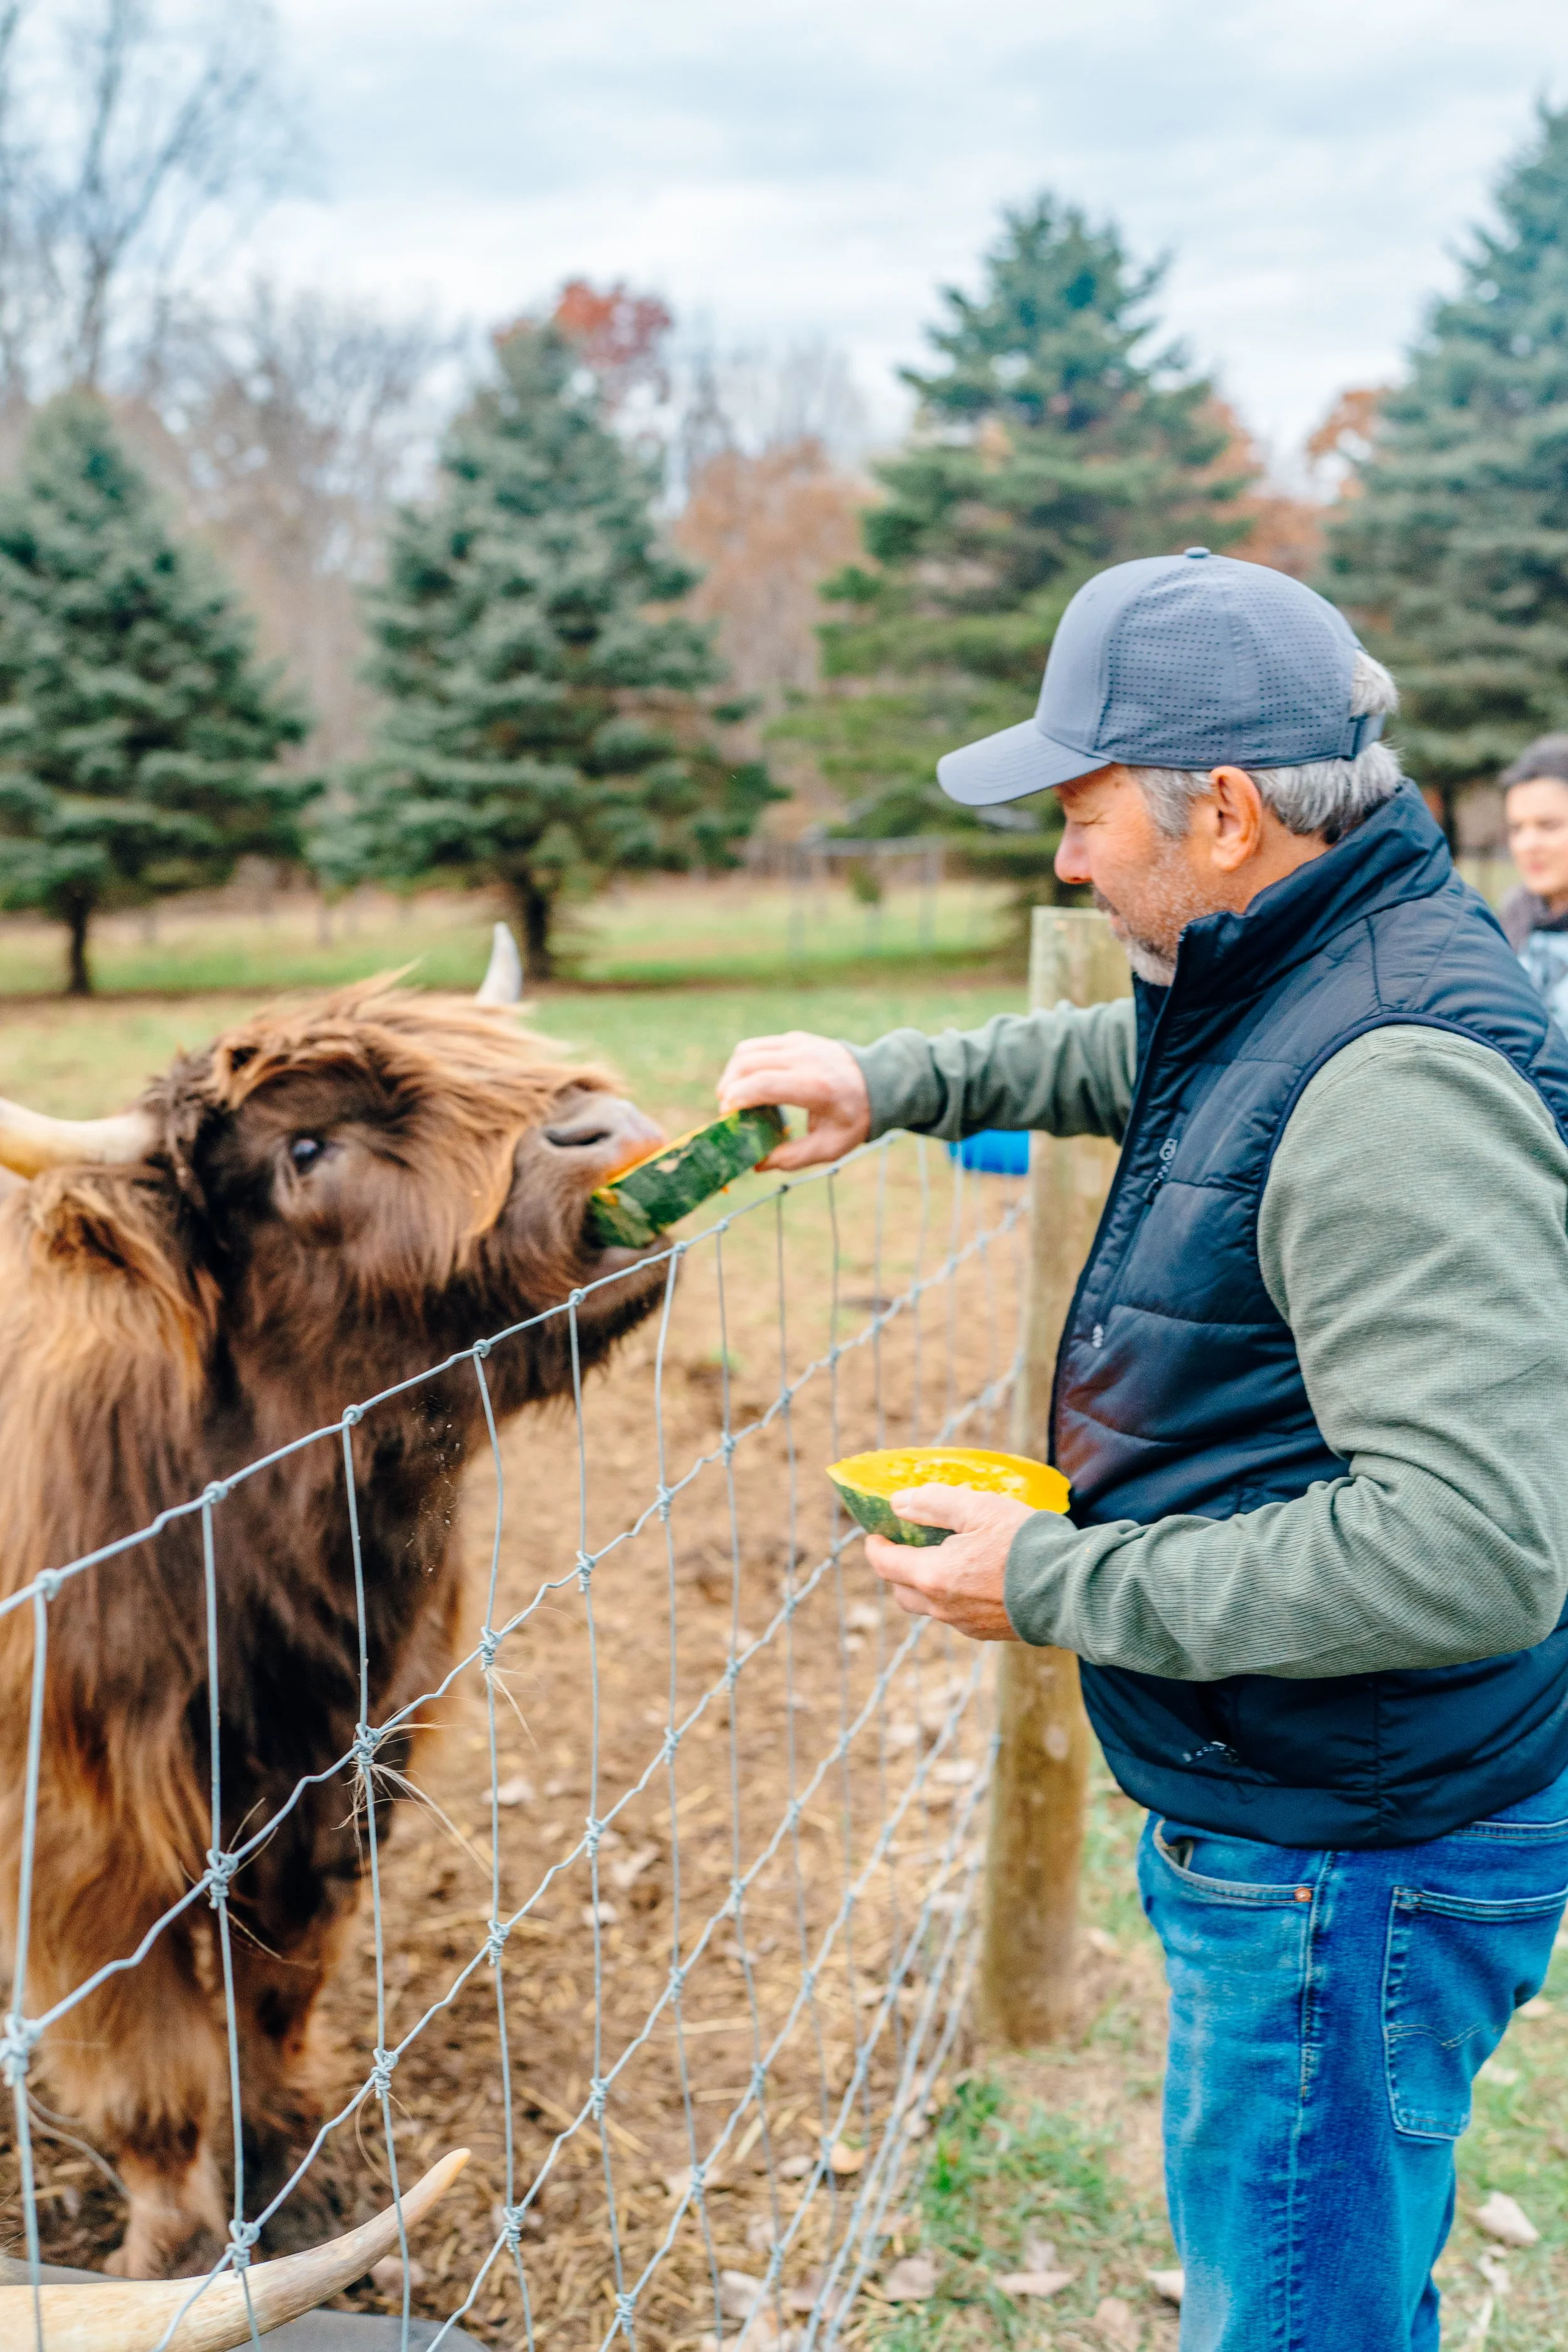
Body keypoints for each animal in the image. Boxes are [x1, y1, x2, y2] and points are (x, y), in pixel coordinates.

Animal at [0, 958, 669, 2280]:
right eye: (305, 1147)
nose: (609, 1132)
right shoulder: (79, 1841)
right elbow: (146, 2056)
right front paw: (175, 2250)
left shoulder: (339, 1782)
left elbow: (272, 1998)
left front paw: (289, 2178)